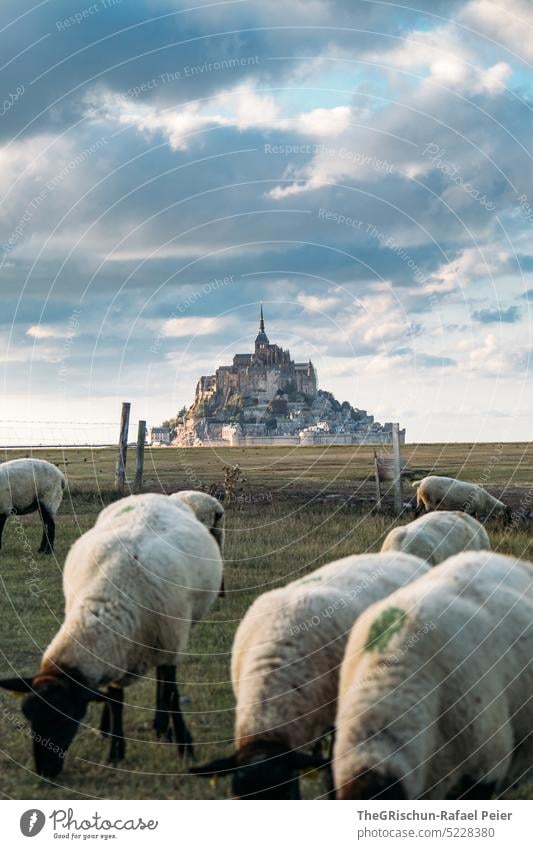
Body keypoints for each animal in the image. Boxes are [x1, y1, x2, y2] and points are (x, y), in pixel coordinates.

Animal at [0, 490, 222, 776]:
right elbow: (116, 700)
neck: (109, 598)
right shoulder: (118, 648)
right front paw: (116, 749)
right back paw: (109, 728)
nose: (44, 770)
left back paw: (161, 726)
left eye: (66, 716)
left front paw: (184, 745)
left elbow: (171, 692)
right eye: (28, 715)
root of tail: (149, 494)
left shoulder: (170, 641)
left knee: (162, 681)